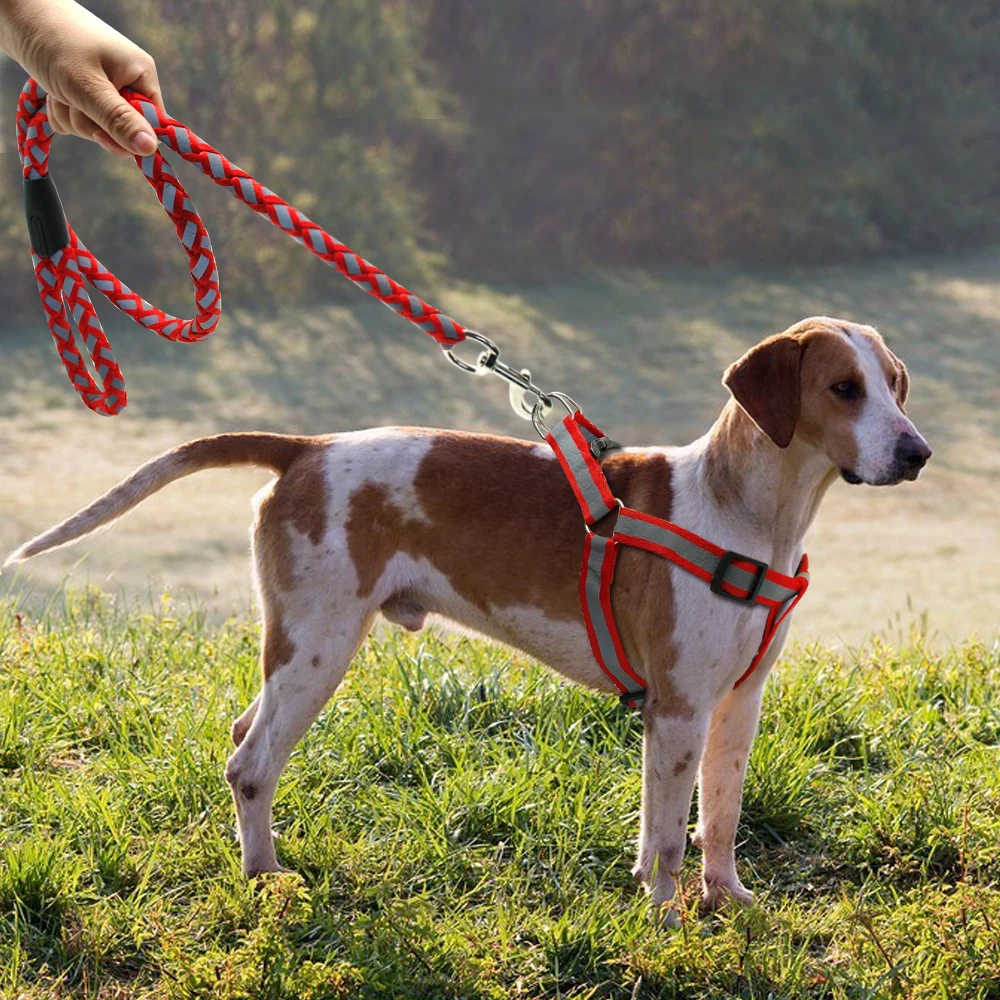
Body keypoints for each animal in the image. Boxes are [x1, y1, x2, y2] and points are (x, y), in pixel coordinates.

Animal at [5, 316, 928, 916]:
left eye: (894, 384)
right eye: (843, 389)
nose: (918, 452)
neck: (747, 515)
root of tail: (305, 448)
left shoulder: (736, 706)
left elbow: (721, 821)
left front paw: (727, 900)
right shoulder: (676, 711)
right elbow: (665, 836)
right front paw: (666, 919)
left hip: (296, 650)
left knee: (240, 737)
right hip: (319, 650)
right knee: (251, 764)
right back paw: (266, 878)